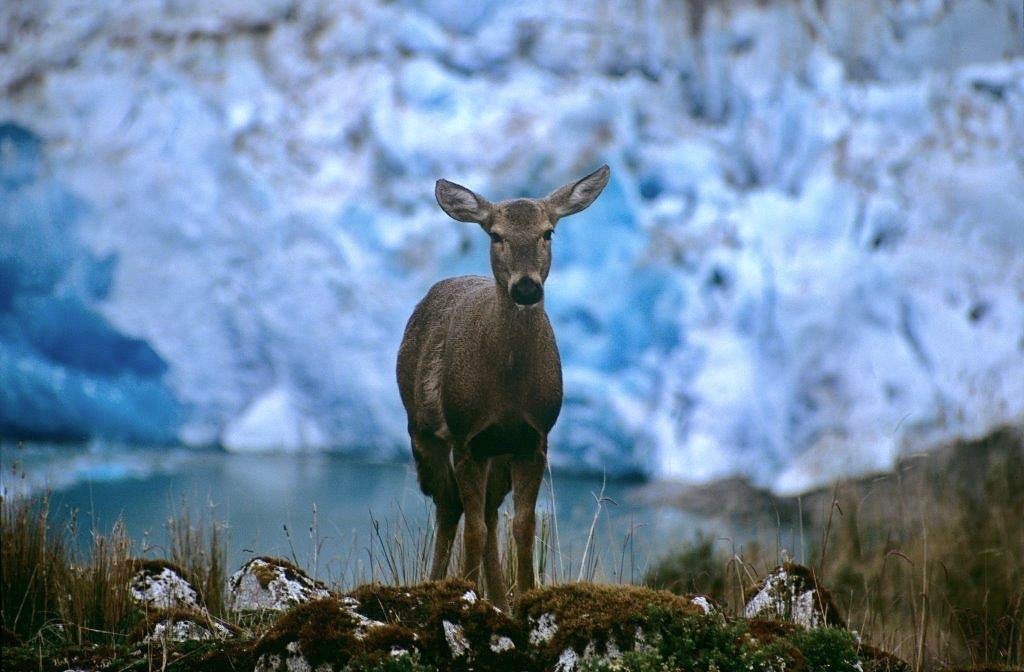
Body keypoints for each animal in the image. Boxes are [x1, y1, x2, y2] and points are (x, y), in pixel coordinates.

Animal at [396, 165, 610, 610]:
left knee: (490, 513)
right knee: (450, 507)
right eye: (496, 235)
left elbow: (523, 527)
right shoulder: (467, 437)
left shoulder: (534, 438)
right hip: (423, 431)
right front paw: (465, 592)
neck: (508, 389)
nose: (526, 287)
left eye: (548, 232)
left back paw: (498, 597)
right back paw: (440, 582)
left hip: (498, 454)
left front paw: (525, 597)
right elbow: (473, 528)